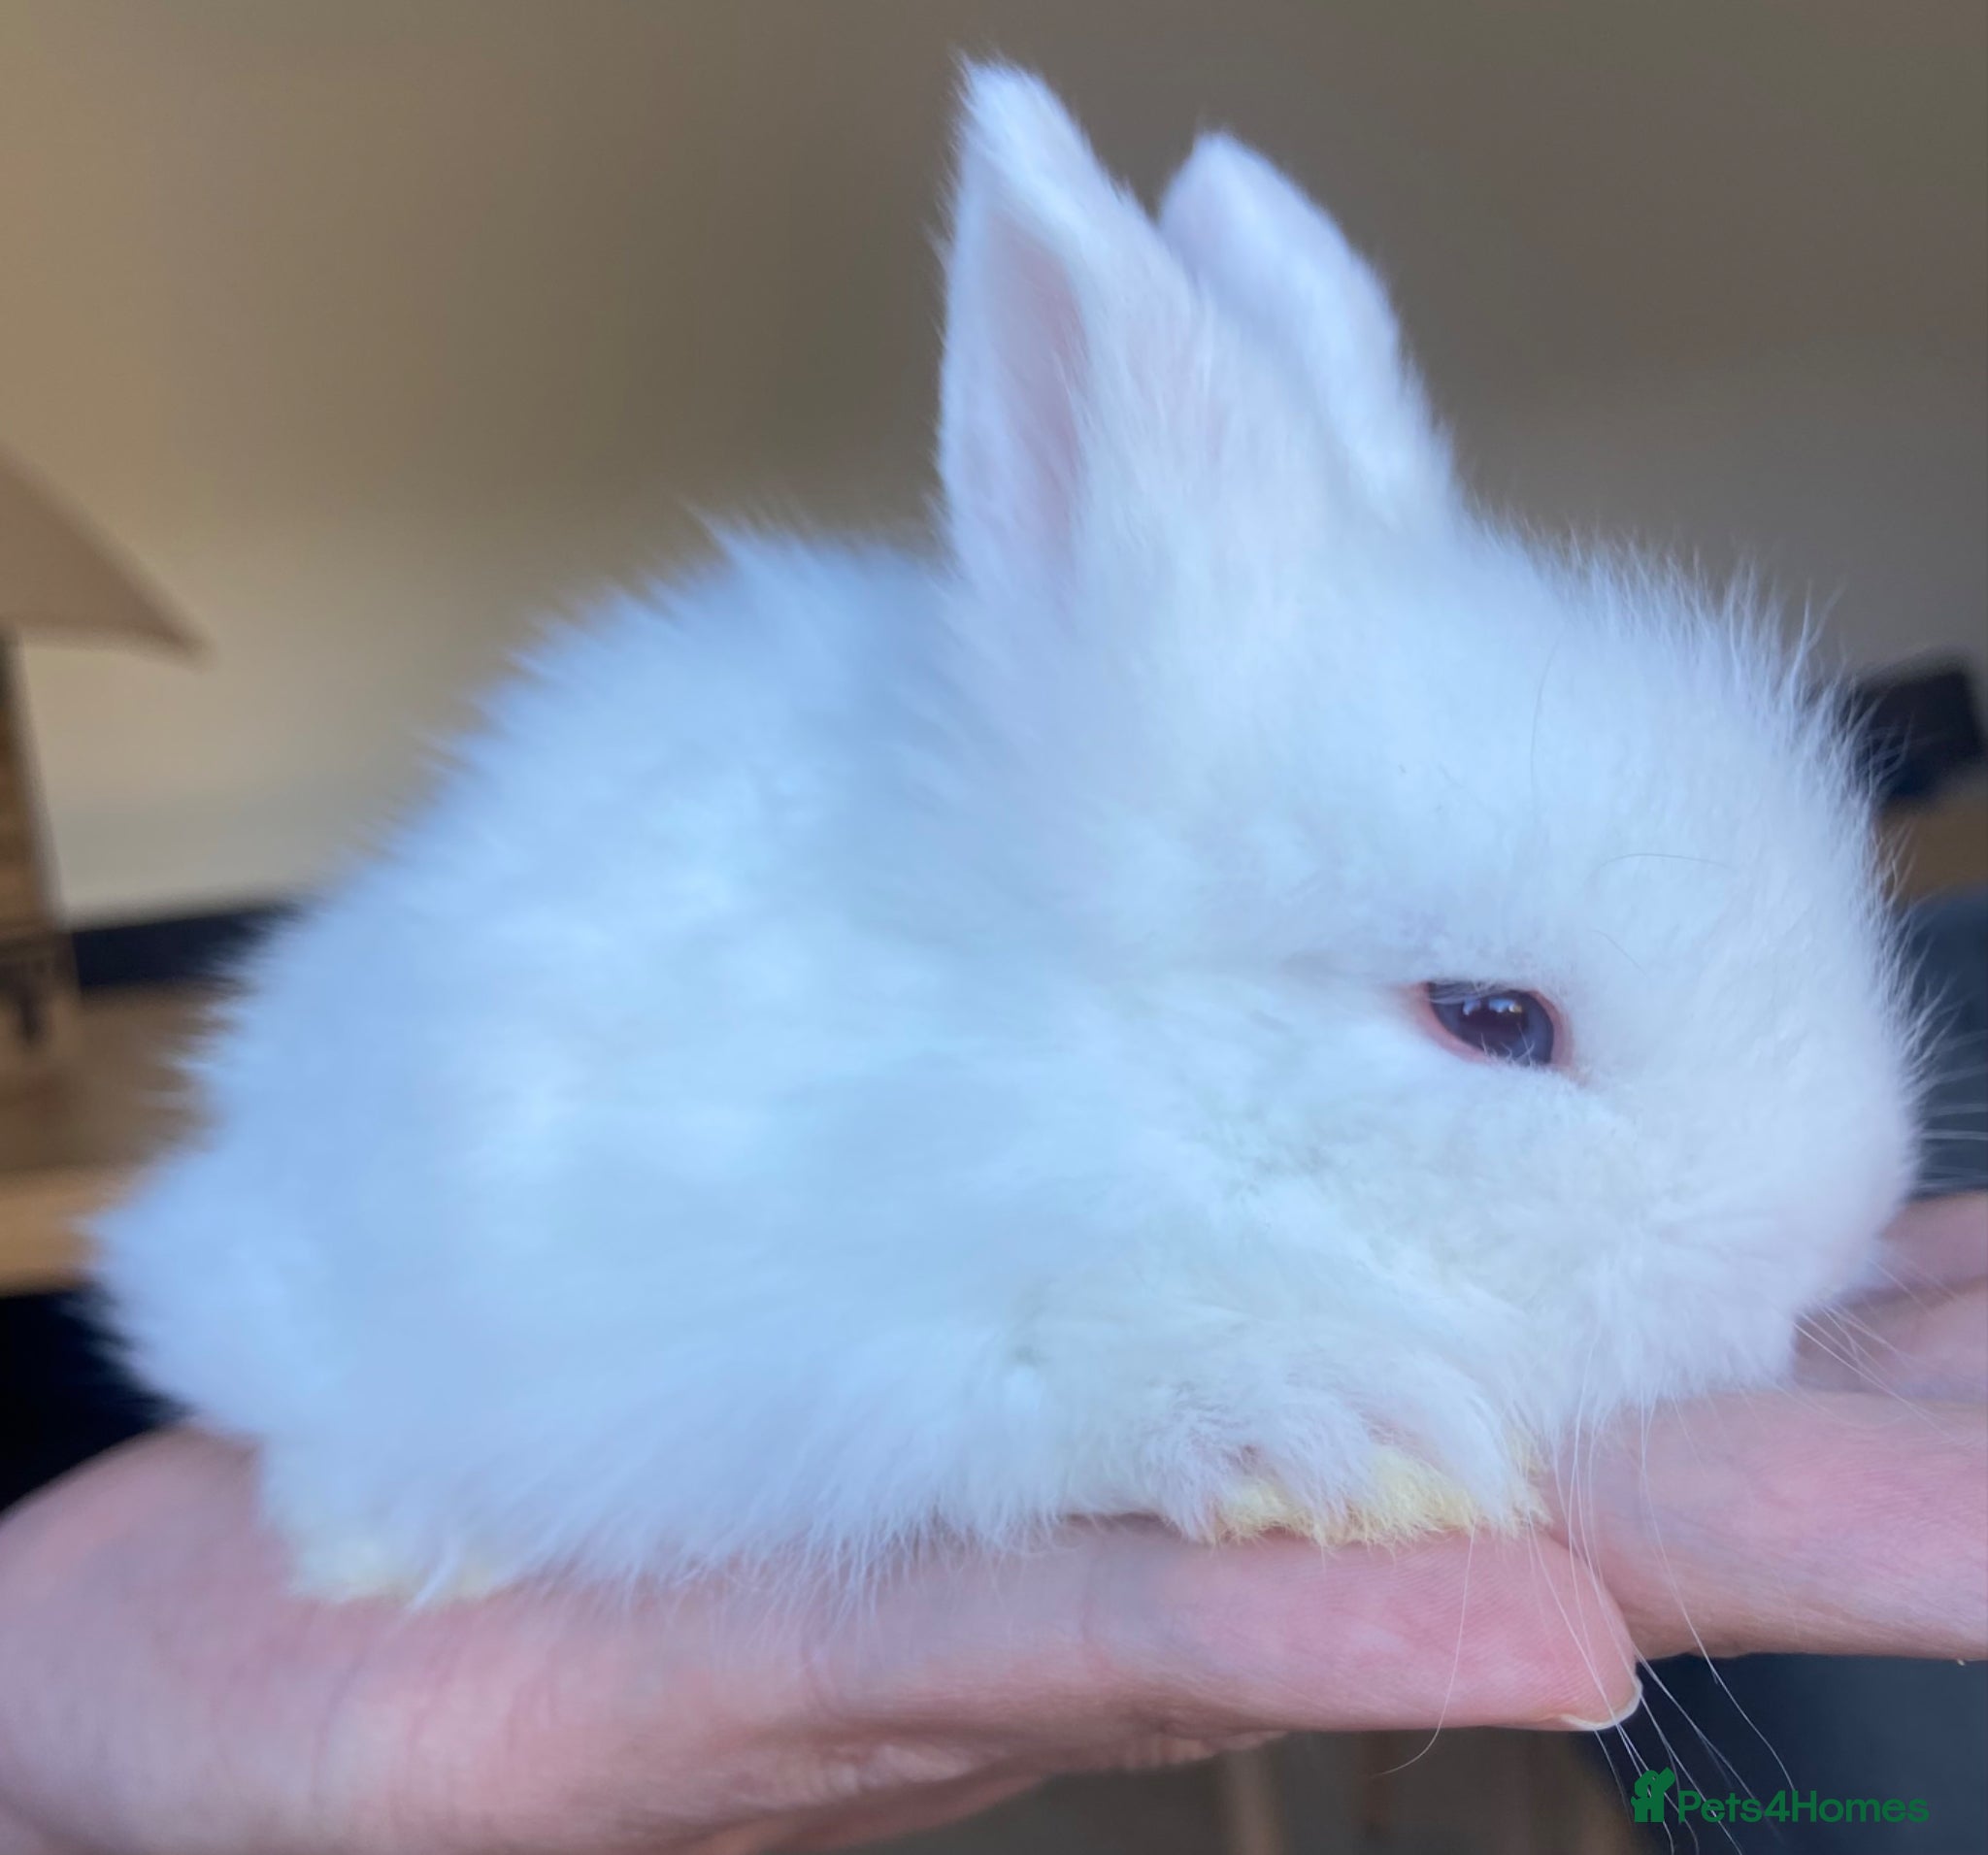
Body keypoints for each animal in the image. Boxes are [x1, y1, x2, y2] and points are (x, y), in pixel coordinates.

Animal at [94, 65, 1919, 1603]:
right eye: (1490, 1019)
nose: (1814, 1252)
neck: (1096, 1056)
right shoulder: (832, 1322)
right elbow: (1060, 1366)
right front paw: (1334, 1434)